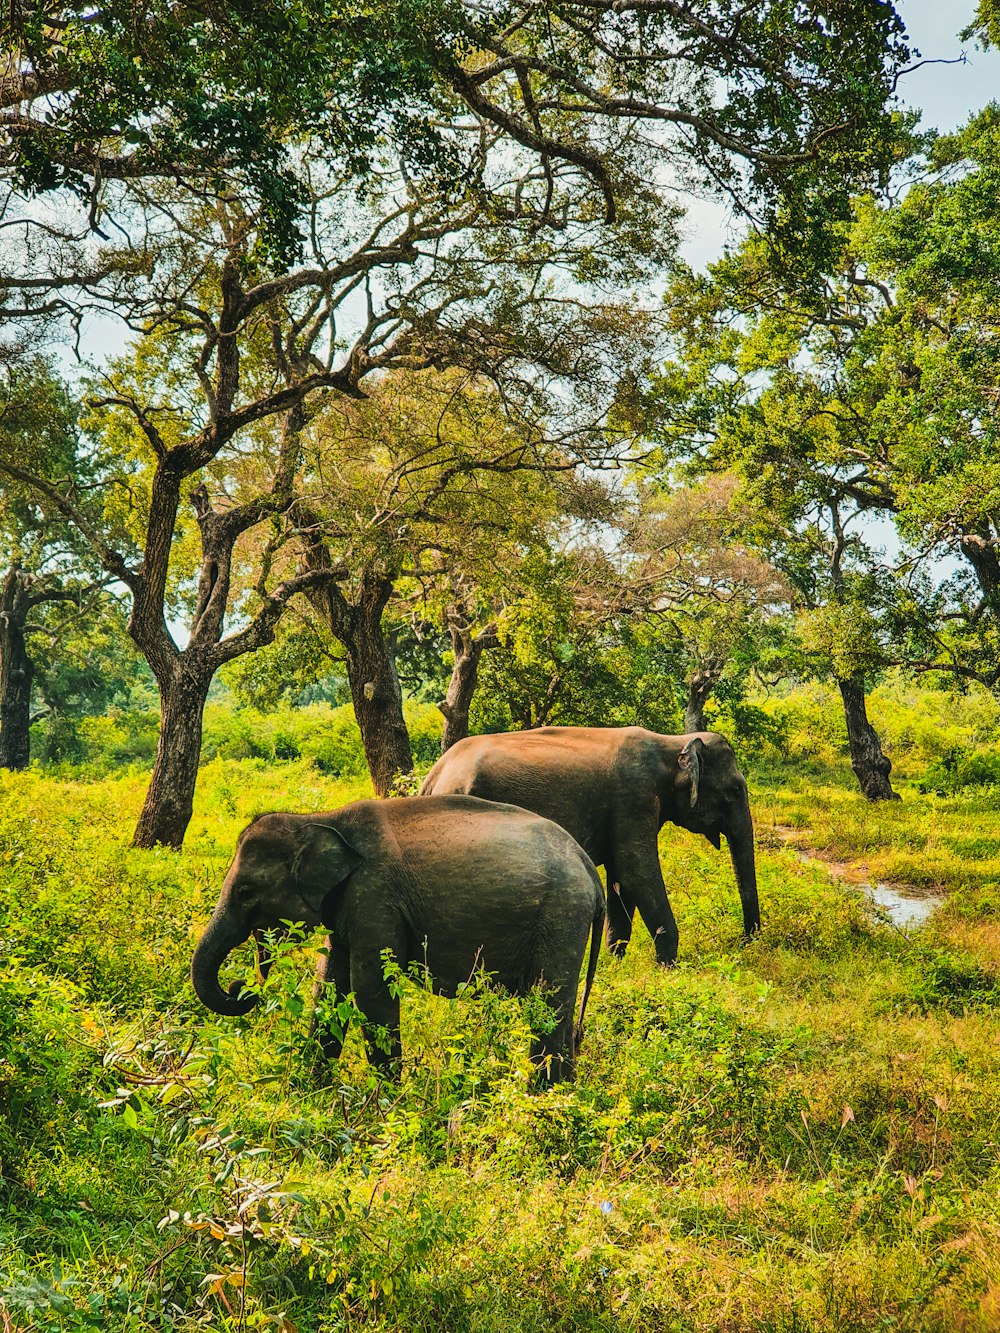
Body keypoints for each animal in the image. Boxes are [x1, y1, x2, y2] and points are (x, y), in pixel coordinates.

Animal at [192, 789, 608, 1082]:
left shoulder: (375, 895)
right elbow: (329, 988)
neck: (320, 820)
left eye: (245, 893)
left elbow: (371, 991)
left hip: (560, 916)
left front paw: (384, 1105)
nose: (239, 985)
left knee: (548, 1005)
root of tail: (589, 869)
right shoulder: (347, 902)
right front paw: (311, 1092)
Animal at [421, 730, 757, 970]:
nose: (745, 942)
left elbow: (621, 879)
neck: (672, 743)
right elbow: (637, 872)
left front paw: (615, 963)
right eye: (734, 791)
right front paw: (668, 968)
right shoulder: (633, 798)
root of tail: (433, 777)